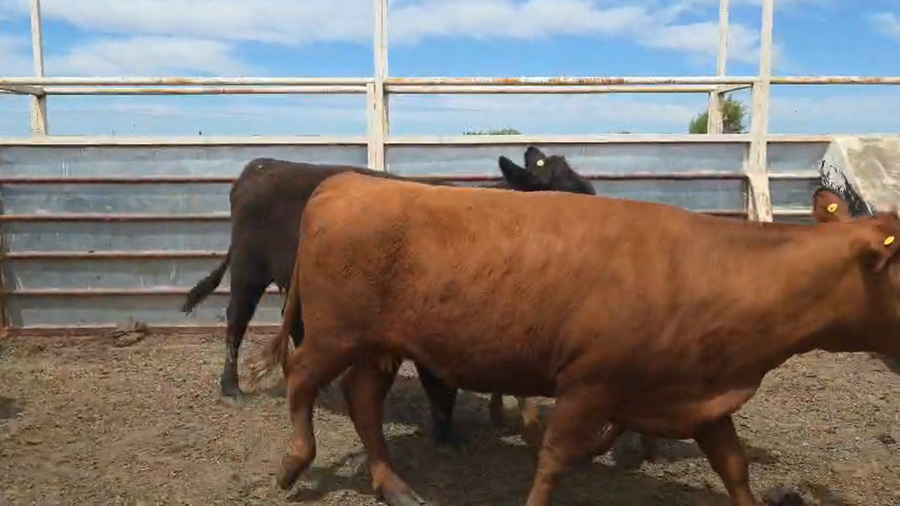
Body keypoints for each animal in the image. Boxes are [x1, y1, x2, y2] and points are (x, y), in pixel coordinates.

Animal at [180, 147, 596, 447]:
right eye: (559, 186)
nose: (594, 195)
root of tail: (260, 166)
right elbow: (439, 384)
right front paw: (447, 434)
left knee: (296, 323)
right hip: (248, 269)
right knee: (236, 321)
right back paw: (231, 388)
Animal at [248, 172, 900, 506]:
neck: (711, 270)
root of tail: (347, 182)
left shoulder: (702, 396)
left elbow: (734, 468)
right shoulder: (590, 385)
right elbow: (554, 461)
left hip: (379, 344)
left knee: (362, 404)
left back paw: (394, 485)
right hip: (336, 332)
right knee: (301, 379)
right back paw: (294, 462)